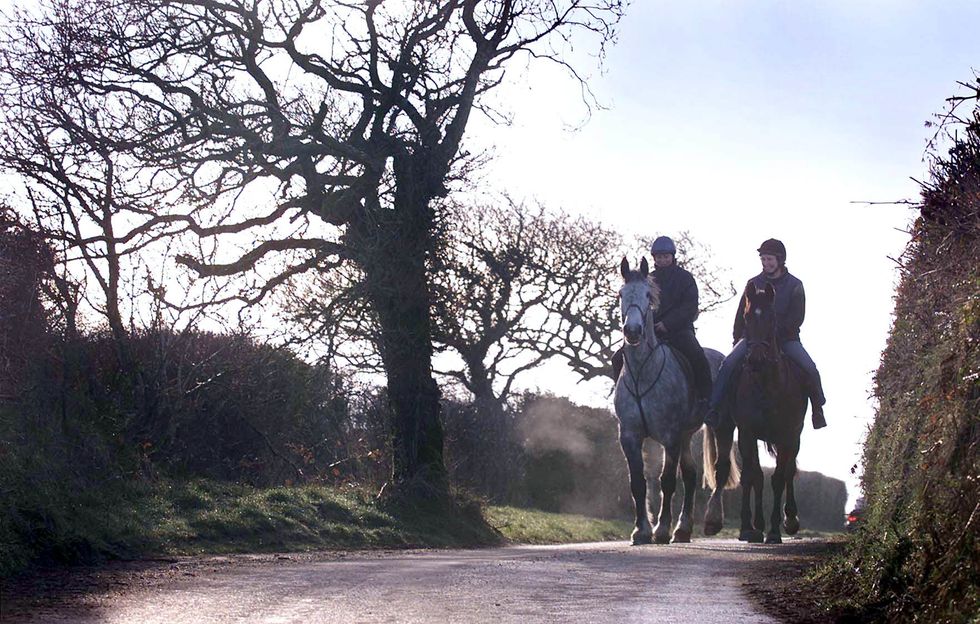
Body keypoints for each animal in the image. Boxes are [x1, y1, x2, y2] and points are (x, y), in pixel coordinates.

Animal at [614, 257, 738, 544]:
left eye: (648, 296)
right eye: (621, 294)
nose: (632, 331)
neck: (642, 372)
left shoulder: (669, 436)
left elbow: (667, 481)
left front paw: (660, 529)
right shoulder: (630, 437)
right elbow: (638, 482)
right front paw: (641, 530)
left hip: (722, 426)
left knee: (720, 469)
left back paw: (711, 521)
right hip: (685, 435)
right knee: (691, 475)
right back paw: (682, 529)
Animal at [731, 282, 808, 544]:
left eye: (772, 318)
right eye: (746, 317)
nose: (755, 359)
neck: (766, 385)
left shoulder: (785, 436)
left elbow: (777, 479)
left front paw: (774, 530)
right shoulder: (747, 433)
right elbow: (752, 476)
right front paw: (749, 527)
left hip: (795, 438)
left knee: (788, 473)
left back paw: (791, 519)